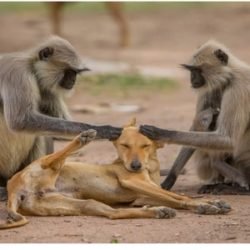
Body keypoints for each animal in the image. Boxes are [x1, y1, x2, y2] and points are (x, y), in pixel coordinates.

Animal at [0, 36, 121, 200]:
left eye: (76, 73)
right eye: (69, 71)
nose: (73, 81)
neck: (32, 68)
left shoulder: (46, 88)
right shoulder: (17, 71)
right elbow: (20, 121)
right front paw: (105, 130)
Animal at [0, 118, 230, 229]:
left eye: (145, 146)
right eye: (125, 145)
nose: (135, 165)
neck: (149, 168)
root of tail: (13, 190)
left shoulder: (143, 195)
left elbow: (176, 196)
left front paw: (212, 203)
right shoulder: (134, 183)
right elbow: (180, 197)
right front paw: (203, 205)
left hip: (83, 204)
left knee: (114, 214)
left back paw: (158, 211)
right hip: (46, 165)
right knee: (54, 157)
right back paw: (83, 137)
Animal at [141, 40, 250, 193]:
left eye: (197, 70)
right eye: (191, 70)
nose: (192, 78)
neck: (229, 76)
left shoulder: (238, 87)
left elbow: (228, 138)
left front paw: (161, 133)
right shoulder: (210, 88)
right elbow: (196, 126)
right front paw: (171, 177)